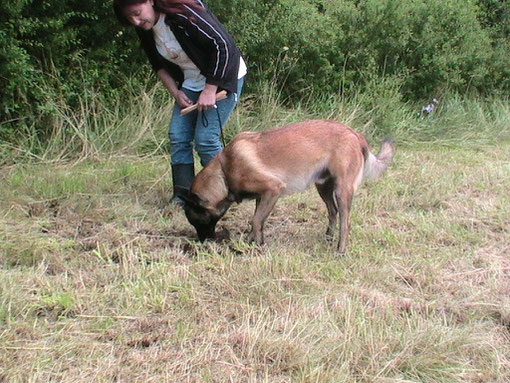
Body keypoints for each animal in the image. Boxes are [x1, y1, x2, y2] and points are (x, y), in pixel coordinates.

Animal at [183, 118, 394, 254]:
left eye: (198, 221)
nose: (203, 242)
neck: (224, 171)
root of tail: (355, 133)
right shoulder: (263, 197)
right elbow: (257, 221)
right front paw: (251, 243)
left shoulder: (273, 189)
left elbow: (256, 221)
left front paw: (258, 247)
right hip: (323, 187)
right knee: (332, 212)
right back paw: (327, 237)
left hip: (342, 191)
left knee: (345, 221)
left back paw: (340, 250)